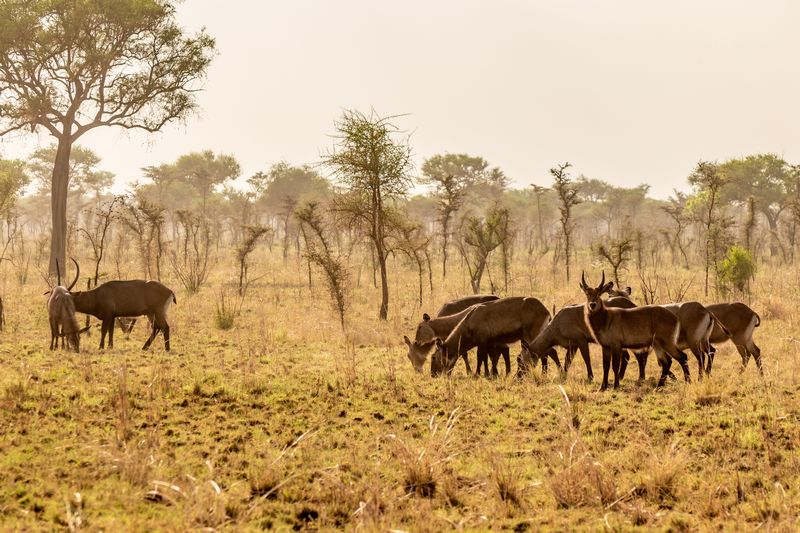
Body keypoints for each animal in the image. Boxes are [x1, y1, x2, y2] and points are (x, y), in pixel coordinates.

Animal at [428, 298, 560, 376]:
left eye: (433, 357)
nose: (433, 374)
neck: (470, 320)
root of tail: (545, 310)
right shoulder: (489, 342)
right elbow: (489, 357)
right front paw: (490, 373)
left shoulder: (482, 341)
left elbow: (480, 357)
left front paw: (478, 374)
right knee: (548, 352)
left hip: (533, 335)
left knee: (548, 352)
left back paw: (548, 373)